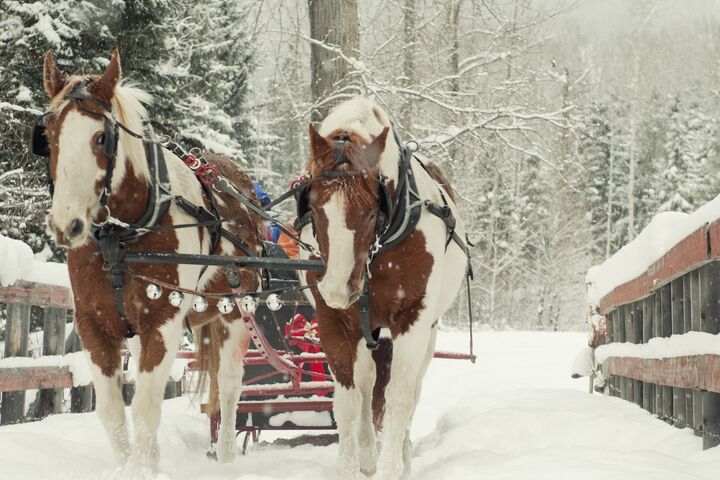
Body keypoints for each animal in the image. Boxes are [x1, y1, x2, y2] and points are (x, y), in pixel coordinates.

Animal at [39, 50, 262, 470]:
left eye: (102, 137)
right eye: (48, 136)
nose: (66, 224)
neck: (120, 238)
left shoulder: (163, 322)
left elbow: (144, 408)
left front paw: (141, 469)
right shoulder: (95, 325)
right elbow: (113, 412)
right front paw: (136, 465)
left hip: (236, 311)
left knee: (228, 387)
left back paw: (226, 455)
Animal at [300, 95, 470, 478]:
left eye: (369, 210)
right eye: (313, 208)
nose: (337, 289)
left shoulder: (412, 318)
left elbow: (399, 397)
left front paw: (393, 467)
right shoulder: (333, 322)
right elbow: (349, 401)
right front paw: (351, 466)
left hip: (424, 332)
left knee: (411, 391)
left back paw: (402, 456)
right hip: (366, 330)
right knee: (366, 387)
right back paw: (367, 453)